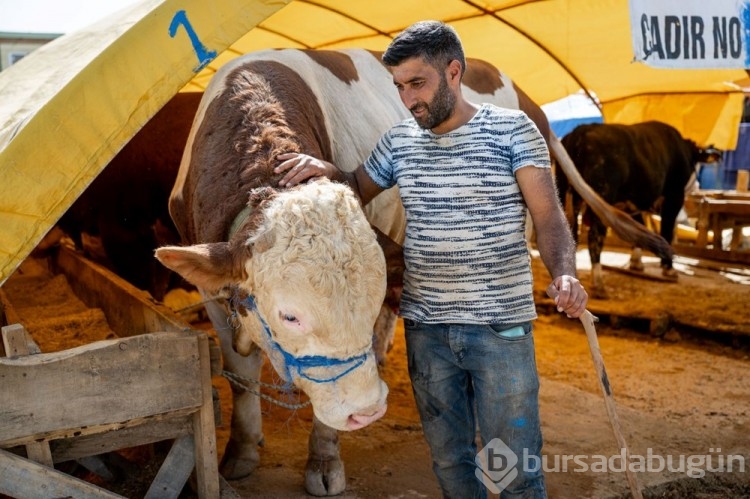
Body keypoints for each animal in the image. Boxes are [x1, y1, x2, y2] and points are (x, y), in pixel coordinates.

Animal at [156, 47, 672, 496]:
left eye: (361, 307)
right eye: (290, 316)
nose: (366, 412)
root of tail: (533, 108)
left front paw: (324, 460)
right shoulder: (214, 289)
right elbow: (237, 367)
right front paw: (240, 453)